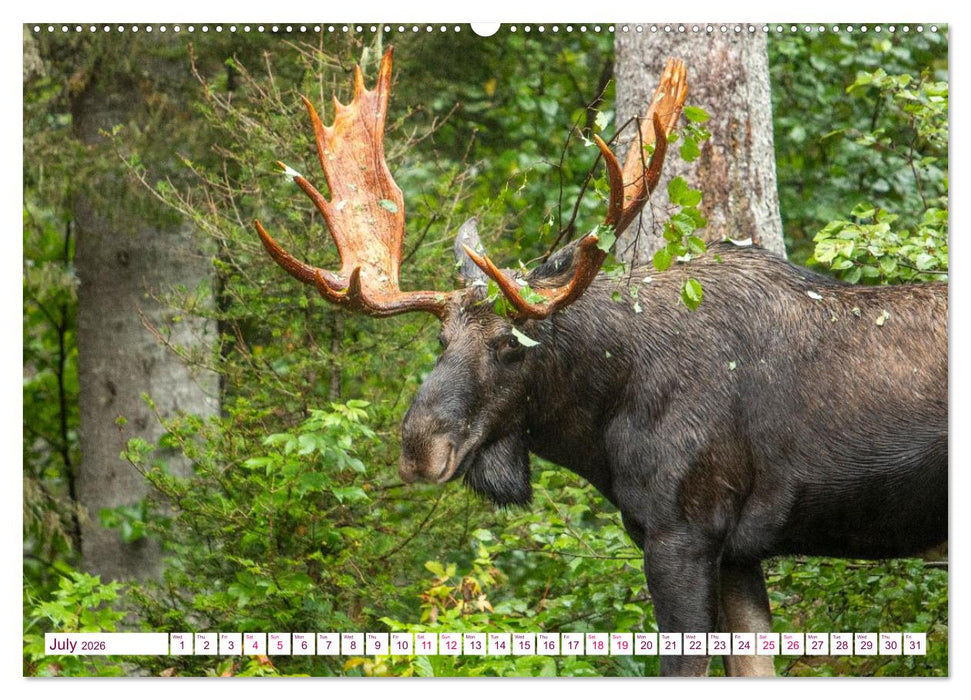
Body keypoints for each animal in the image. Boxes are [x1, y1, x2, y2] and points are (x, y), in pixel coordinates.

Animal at [254, 49, 948, 676]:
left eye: (513, 344)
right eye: (441, 341)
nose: (419, 449)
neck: (603, 422)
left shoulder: (681, 534)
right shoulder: (738, 554)